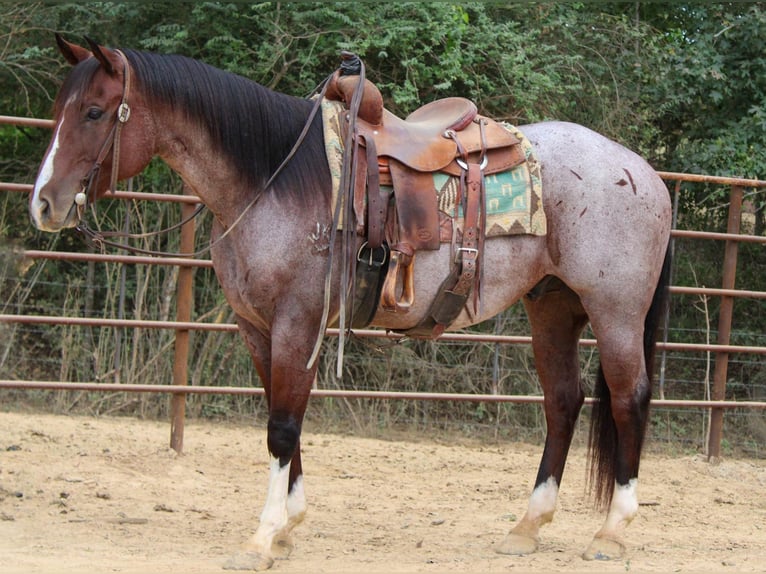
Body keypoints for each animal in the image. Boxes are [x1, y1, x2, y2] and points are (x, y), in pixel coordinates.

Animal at [30, 37, 672, 572]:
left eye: (94, 112)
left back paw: (611, 533)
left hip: (614, 311)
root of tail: (643, 171)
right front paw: (289, 528)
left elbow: (282, 428)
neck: (273, 180)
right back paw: (527, 526)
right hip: (553, 307)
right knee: (563, 402)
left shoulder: (298, 322)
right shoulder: (256, 327)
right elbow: (283, 420)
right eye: (61, 108)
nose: (43, 204)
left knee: (628, 400)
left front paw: (261, 539)